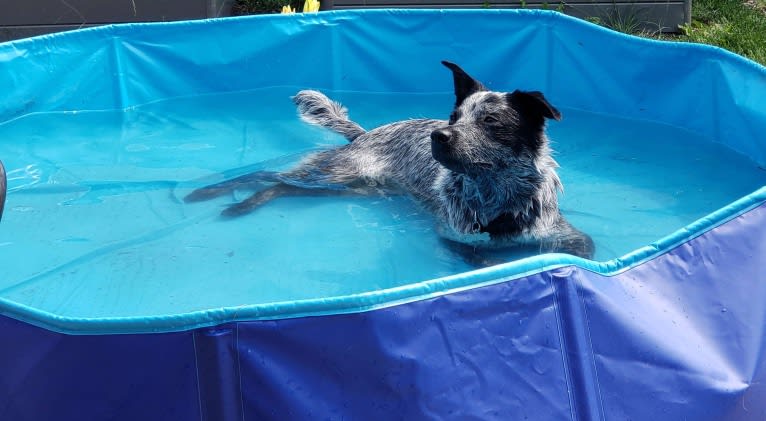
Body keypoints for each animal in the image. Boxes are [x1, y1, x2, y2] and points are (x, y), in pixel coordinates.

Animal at [184, 60, 592, 264]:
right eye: (455, 116)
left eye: (490, 120)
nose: (438, 136)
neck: (498, 204)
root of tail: (365, 133)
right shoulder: (453, 238)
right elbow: (485, 261)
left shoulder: (568, 236)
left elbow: (576, 251)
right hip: (334, 175)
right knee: (264, 175)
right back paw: (208, 195)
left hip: (350, 188)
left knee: (280, 186)